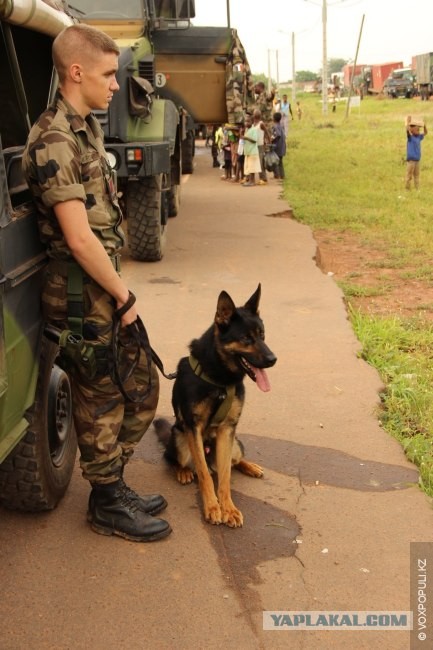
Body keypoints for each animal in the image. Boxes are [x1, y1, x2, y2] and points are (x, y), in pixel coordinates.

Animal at [154, 284, 276, 528]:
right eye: (246, 338)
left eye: (262, 336)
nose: (273, 359)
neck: (220, 379)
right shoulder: (194, 428)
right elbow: (203, 473)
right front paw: (212, 507)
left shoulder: (228, 429)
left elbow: (225, 477)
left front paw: (228, 508)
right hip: (180, 440)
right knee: (175, 460)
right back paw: (183, 471)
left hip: (235, 443)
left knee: (232, 463)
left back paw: (250, 466)